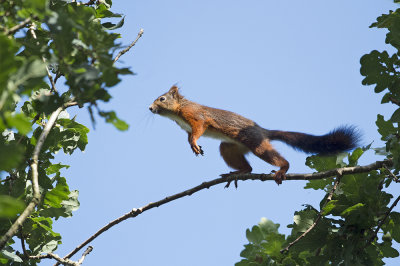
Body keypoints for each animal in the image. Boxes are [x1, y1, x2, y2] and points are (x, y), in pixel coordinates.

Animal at [148, 85, 360, 185]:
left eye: (162, 99)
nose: (149, 108)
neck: (178, 112)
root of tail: (262, 130)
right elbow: (189, 135)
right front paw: (192, 145)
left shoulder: (197, 116)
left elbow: (199, 128)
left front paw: (194, 142)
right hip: (229, 147)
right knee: (248, 167)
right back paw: (238, 172)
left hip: (255, 143)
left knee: (273, 158)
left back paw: (283, 169)